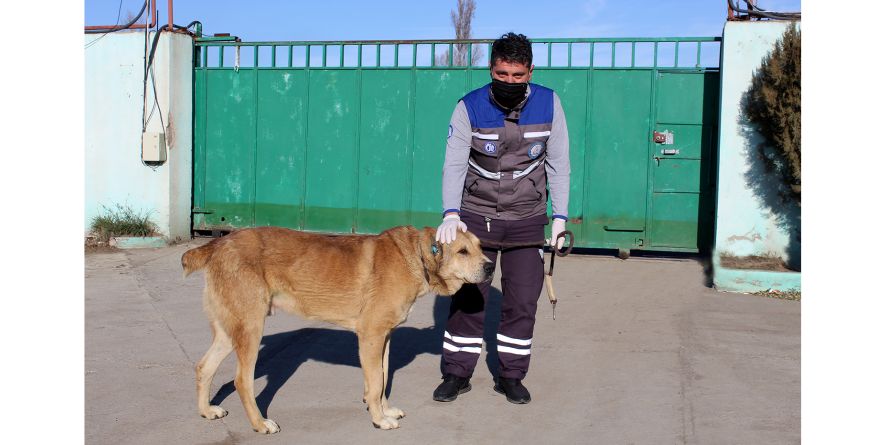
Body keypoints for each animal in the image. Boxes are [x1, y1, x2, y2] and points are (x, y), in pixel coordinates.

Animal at [181, 225, 492, 430]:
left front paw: (384, 409)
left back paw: (206, 411)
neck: (417, 255)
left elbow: (381, 378)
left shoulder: (384, 337)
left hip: (229, 330)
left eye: (481, 247)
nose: (490, 267)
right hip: (251, 329)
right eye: (462, 251)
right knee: (241, 381)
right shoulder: (371, 336)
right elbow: (376, 381)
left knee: (204, 367)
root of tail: (219, 244)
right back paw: (260, 424)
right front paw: (379, 420)